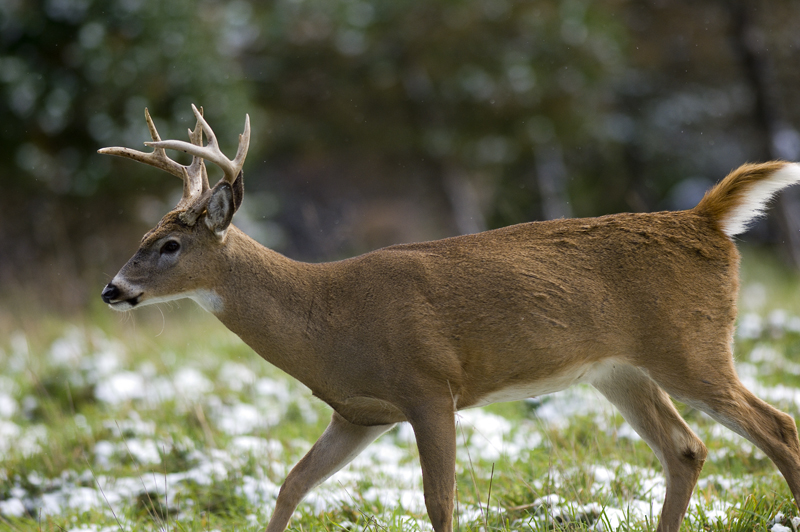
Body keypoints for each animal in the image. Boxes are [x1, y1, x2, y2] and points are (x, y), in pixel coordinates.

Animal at [99, 105, 800, 532]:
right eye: (145, 234)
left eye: (170, 245)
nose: (112, 289)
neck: (327, 315)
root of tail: (707, 219)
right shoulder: (360, 413)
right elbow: (291, 485)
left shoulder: (430, 388)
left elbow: (440, 501)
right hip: (620, 370)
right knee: (686, 448)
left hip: (691, 346)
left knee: (778, 425)